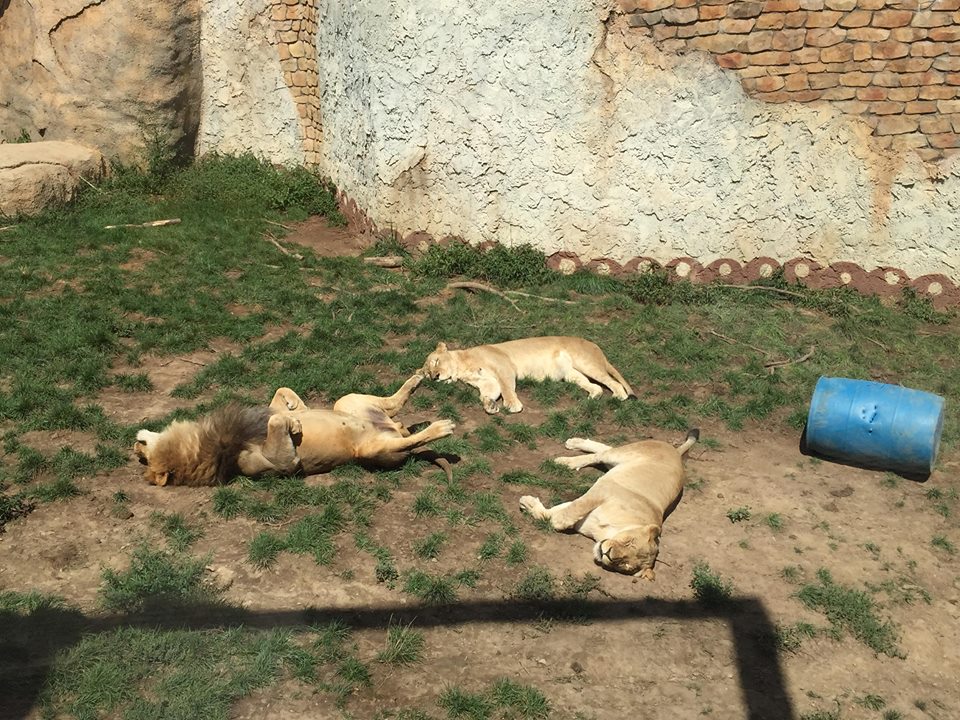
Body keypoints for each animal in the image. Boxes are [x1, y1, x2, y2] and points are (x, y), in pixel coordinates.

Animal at [133, 374, 455, 486]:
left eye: (143, 456)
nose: (133, 446)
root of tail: (394, 429)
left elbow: (280, 395)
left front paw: (296, 411)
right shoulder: (280, 464)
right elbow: (277, 424)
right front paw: (294, 423)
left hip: (346, 400)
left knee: (394, 405)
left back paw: (418, 378)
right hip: (370, 451)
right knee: (410, 437)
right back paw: (442, 426)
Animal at [422, 336, 634, 414]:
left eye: (436, 362)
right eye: (427, 373)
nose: (434, 377)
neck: (462, 367)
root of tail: (594, 345)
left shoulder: (504, 366)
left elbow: (507, 388)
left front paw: (512, 405)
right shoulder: (486, 381)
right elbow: (490, 392)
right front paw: (489, 405)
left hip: (587, 364)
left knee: (612, 382)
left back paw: (619, 396)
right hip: (571, 374)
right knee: (596, 387)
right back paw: (590, 399)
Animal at [519, 429, 699, 579]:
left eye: (625, 565)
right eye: (628, 542)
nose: (608, 554)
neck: (607, 531)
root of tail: (676, 452)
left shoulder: (581, 520)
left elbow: (550, 513)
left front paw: (529, 505)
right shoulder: (603, 489)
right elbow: (576, 507)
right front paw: (555, 519)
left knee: (604, 449)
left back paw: (573, 446)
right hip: (621, 455)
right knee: (602, 453)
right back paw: (567, 455)